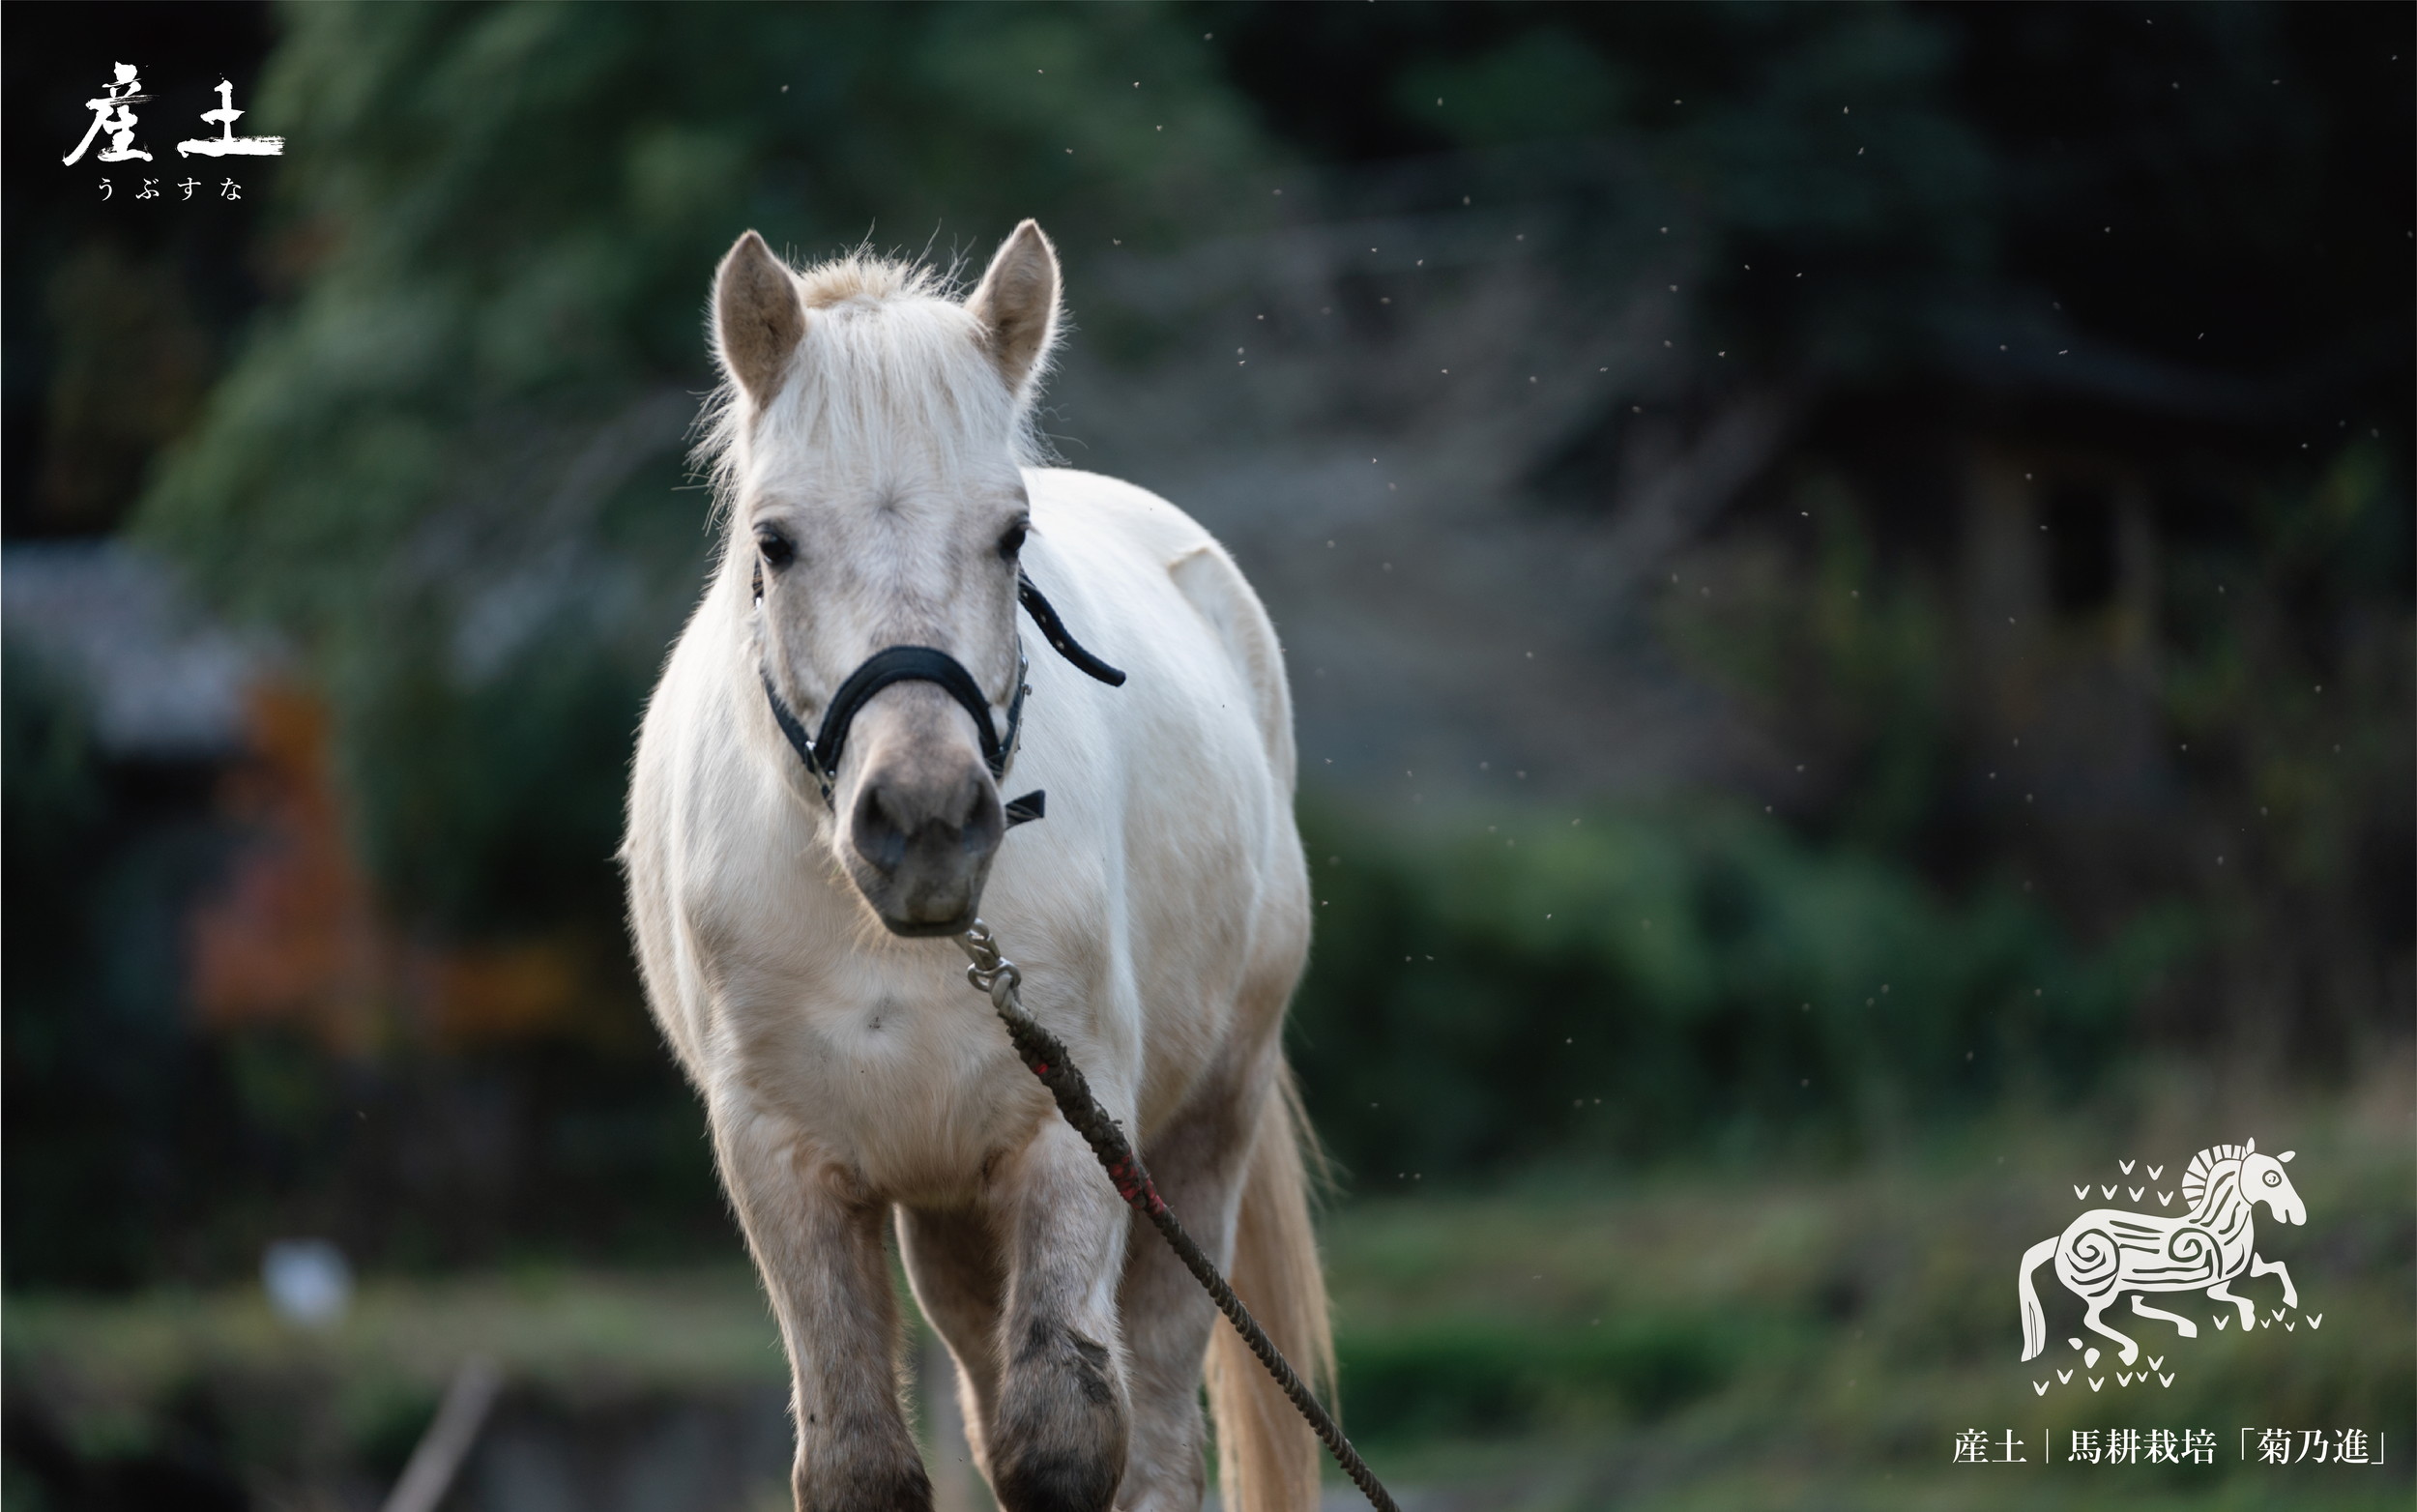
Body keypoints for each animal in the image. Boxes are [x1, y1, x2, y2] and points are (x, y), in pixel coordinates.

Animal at [619, 223, 1325, 1507]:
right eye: (774, 541)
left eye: (1009, 536)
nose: (928, 818)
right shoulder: (783, 1161)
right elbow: (861, 1458)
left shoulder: (1070, 1136)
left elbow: (1063, 1436)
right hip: (948, 1216)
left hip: (1206, 1128)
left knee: (1156, 1428)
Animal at [2021, 1130, 2301, 1362]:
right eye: (2271, 1178)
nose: (2298, 1214)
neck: (2221, 1226)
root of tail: (2061, 1239)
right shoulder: (2218, 1281)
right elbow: (2250, 1294)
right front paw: (2261, 1313)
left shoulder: (2228, 1277)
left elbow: (2276, 1268)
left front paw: (2283, 1303)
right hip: (2101, 1288)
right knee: (2093, 1320)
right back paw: (2133, 1349)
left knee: (2135, 1307)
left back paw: (2184, 1327)